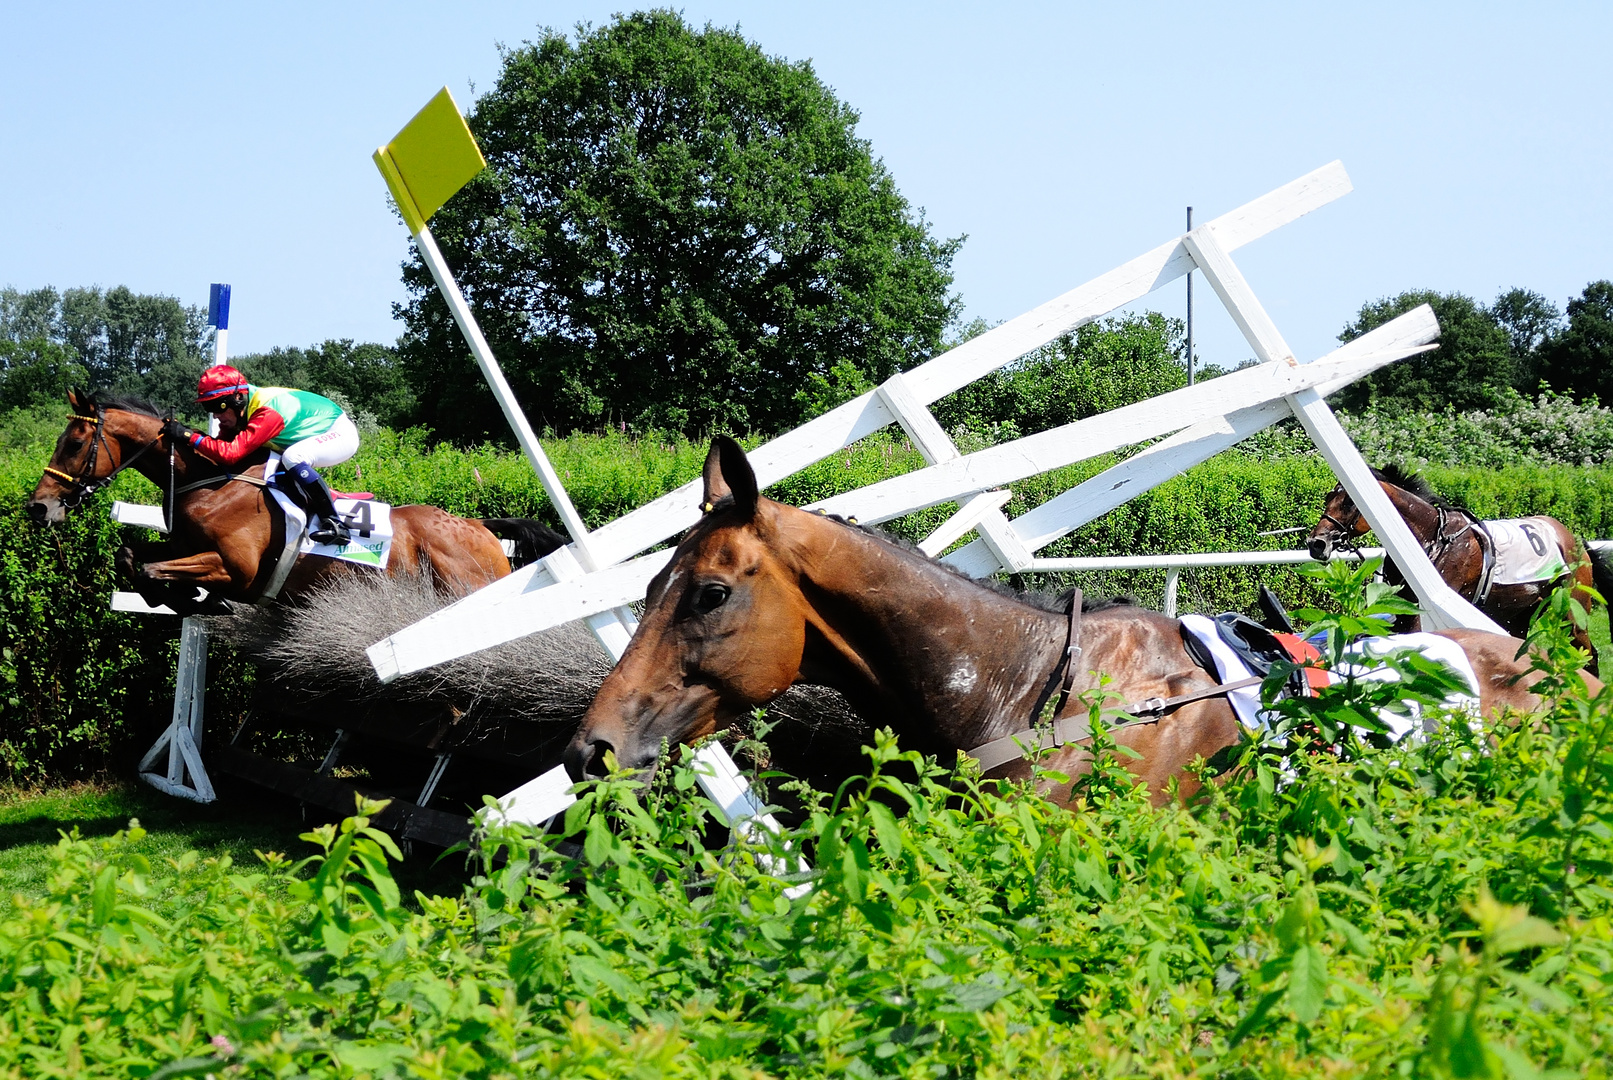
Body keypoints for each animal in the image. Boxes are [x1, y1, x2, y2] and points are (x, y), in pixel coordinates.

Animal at [23, 390, 567, 612]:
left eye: (74, 443)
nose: (38, 507)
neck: (210, 481)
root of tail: (479, 527)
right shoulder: (184, 547)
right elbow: (131, 556)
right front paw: (174, 598)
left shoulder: (234, 567)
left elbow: (155, 569)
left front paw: (194, 600)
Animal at [1303, 464, 1606, 673]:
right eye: (1328, 497)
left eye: (1349, 502)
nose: (1316, 543)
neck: (1428, 540)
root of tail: (1575, 540)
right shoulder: (1401, 612)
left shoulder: (1420, 615)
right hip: (1518, 614)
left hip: (1572, 612)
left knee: (1590, 654)